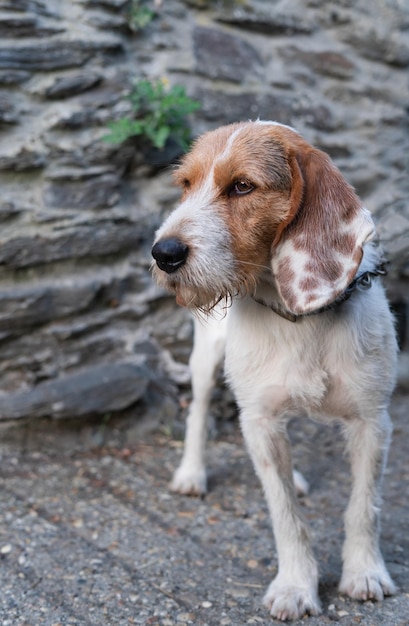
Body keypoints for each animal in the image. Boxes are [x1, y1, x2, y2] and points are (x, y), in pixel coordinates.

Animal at [150, 122, 396, 620]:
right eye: (184, 184)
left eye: (243, 186)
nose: (163, 253)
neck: (300, 317)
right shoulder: (260, 421)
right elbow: (286, 516)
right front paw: (296, 587)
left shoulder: (372, 421)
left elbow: (365, 506)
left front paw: (364, 573)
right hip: (206, 358)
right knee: (197, 410)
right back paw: (191, 473)